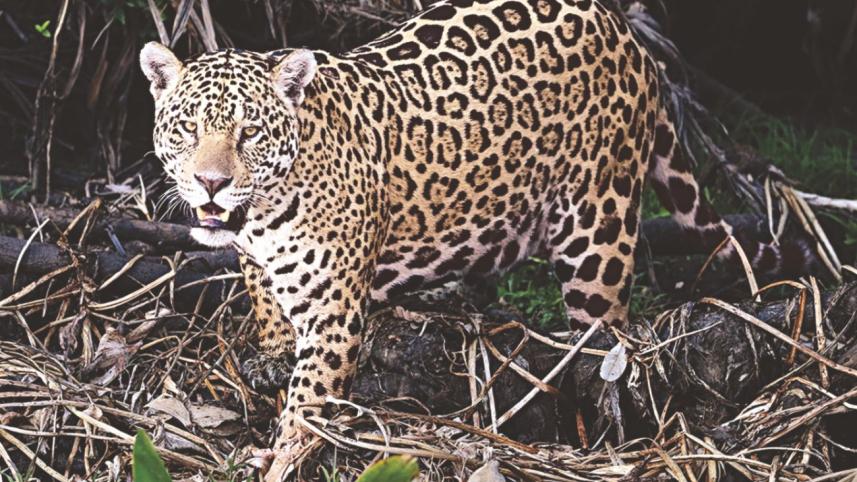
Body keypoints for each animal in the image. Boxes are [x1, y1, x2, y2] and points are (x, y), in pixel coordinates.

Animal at [140, 0, 811, 473]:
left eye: (249, 133)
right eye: (187, 128)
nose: (211, 183)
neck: (267, 213)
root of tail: (624, 30)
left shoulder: (334, 318)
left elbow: (307, 407)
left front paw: (280, 457)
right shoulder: (262, 266)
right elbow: (269, 314)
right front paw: (270, 357)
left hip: (597, 235)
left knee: (606, 346)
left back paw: (601, 434)